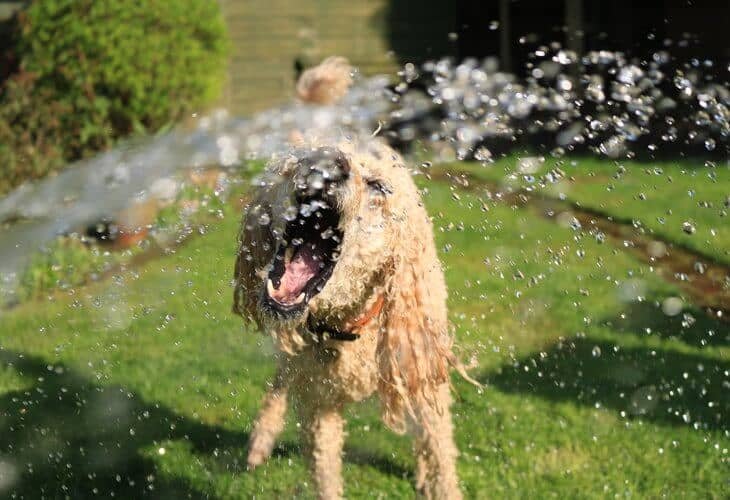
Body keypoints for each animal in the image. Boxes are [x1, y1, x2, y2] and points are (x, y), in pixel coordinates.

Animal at [232, 57, 472, 496]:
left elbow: (439, 455)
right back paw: (261, 439)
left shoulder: (423, 377)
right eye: (295, 161)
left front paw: (434, 479)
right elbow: (325, 474)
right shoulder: (317, 407)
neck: (349, 325)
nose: (327, 163)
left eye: (378, 186)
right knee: (280, 380)